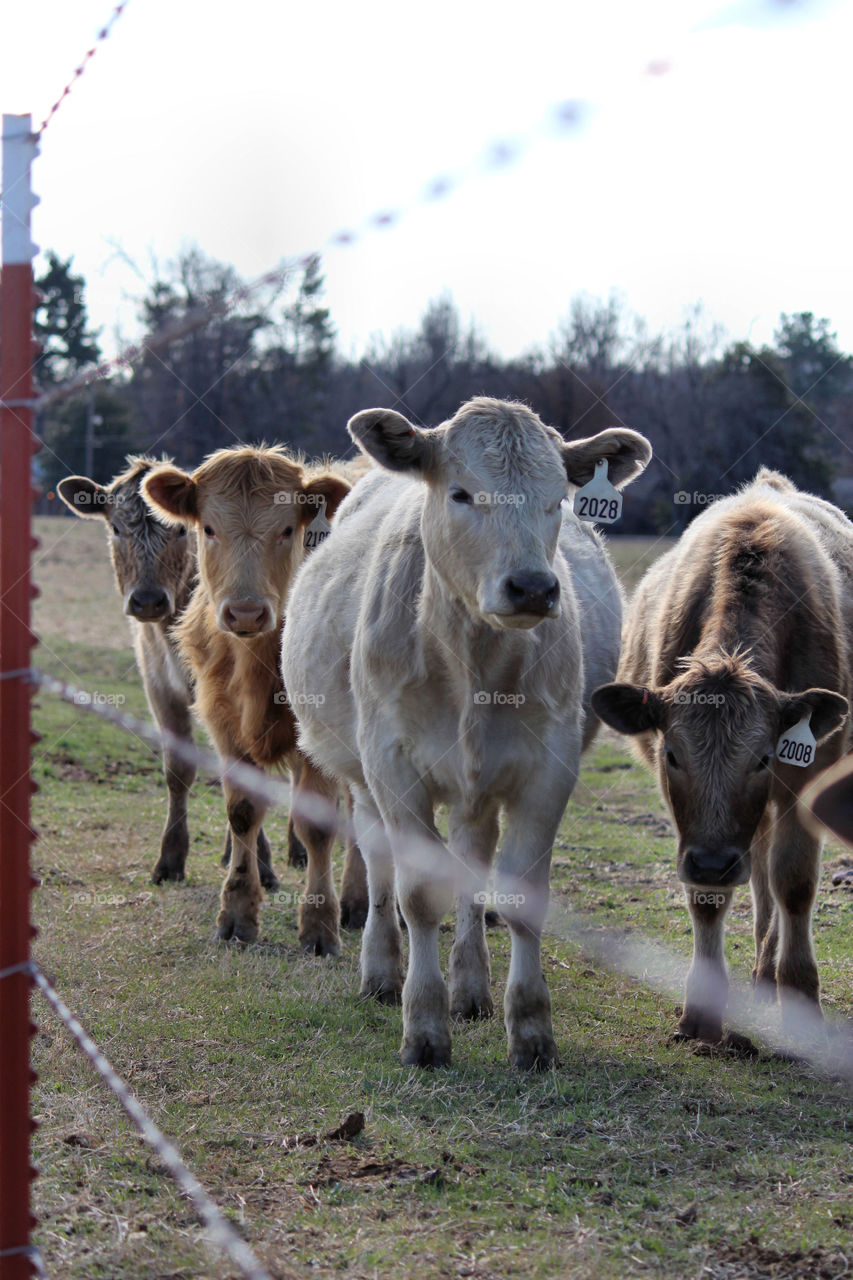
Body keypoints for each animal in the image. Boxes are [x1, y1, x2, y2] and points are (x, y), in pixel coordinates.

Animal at [57, 457, 297, 888]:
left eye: (181, 530)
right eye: (115, 528)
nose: (148, 600)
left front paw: (263, 866)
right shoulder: (159, 688)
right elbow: (179, 771)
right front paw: (170, 858)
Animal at [142, 444, 368, 954]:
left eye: (287, 530)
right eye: (208, 528)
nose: (245, 612)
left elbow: (318, 826)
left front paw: (319, 926)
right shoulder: (223, 723)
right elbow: (242, 813)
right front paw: (237, 914)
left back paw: (359, 903)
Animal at [281, 397, 651, 1068]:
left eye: (558, 497)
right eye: (460, 493)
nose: (532, 586)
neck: (472, 660)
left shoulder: (548, 768)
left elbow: (518, 895)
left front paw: (530, 1031)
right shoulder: (394, 765)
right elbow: (418, 895)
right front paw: (424, 1028)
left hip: (473, 791)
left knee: (471, 859)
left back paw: (471, 988)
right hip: (365, 777)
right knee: (378, 865)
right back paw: (381, 972)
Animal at [591, 468, 852, 1045]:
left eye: (762, 758)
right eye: (672, 755)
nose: (713, 862)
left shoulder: (807, 777)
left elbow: (794, 884)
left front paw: (801, 999)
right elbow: (708, 900)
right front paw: (701, 1014)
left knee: (771, 874)